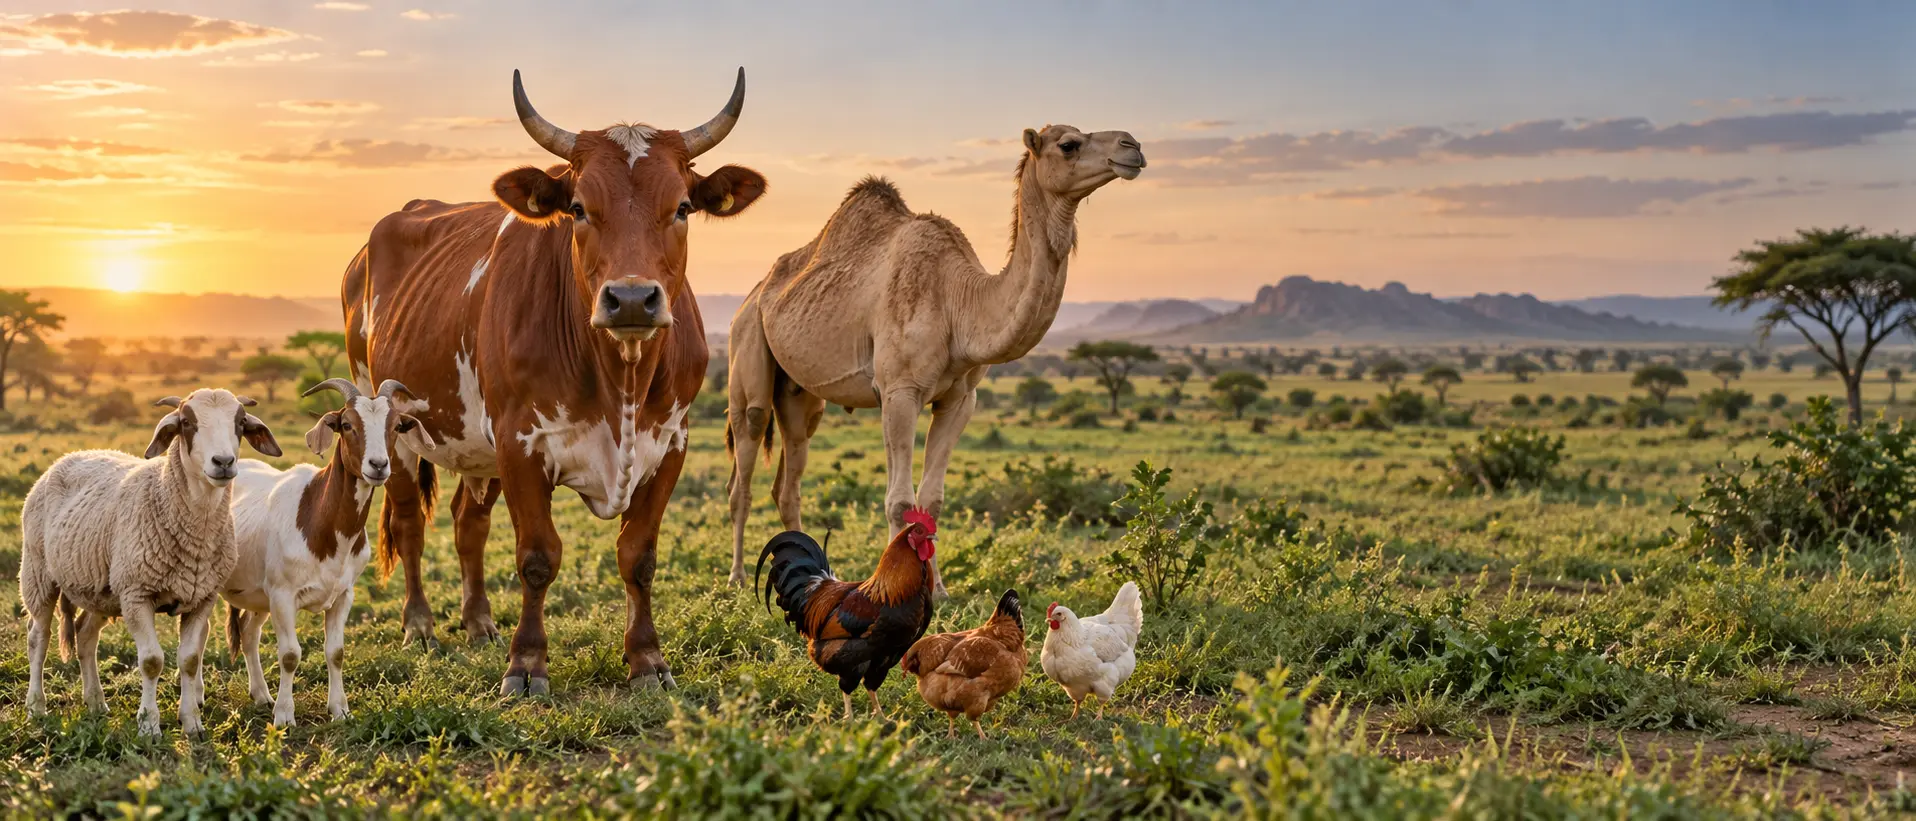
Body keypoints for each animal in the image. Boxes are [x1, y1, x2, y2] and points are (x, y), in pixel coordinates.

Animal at [19, 388, 282, 737]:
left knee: (86, 637)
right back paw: (36, 706)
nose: (223, 462)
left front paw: (192, 723)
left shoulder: (202, 596)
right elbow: (152, 661)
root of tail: (69, 456)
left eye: (240, 422)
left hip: (101, 589)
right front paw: (149, 726)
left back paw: (96, 702)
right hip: (38, 573)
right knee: (38, 637)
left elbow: (189, 659)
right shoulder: (137, 594)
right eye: (186, 422)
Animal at [220, 378, 431, 726]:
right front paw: (285, 715)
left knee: (249, 634)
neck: (318, 516)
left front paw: (339, 709)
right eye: (346, 425)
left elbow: (336, 652)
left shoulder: (343, 595)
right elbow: (290, 655)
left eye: (396, 427)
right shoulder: (283, 595)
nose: (378, 466)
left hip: (257, 595)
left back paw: (261, 695)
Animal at [342, 69, 767, 695]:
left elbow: (639, 556)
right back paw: (419, 625)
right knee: (408, 520)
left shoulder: (671, 444)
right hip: (391, 429)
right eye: (579, 208)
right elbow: (538, 556)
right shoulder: (521, 443)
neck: (621, 382)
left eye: (684, 206)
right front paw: (527, 665)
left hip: (478, 448)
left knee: (469, 525)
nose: (632, 299)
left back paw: (479, 623)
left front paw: (647, 659)